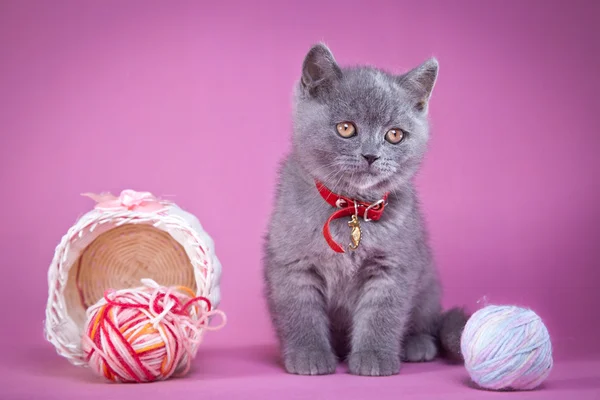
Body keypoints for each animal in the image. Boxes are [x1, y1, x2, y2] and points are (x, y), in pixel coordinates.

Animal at [264, 43, 468, 376]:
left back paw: (417, 344)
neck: (352, 208)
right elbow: (301, 313)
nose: (371, 155)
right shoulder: (293, 264)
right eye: (346, 128)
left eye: (395, 135)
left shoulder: (392, 266)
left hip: (427, 285)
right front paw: (309, 354)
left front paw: (374, 356)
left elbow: (382, 315)